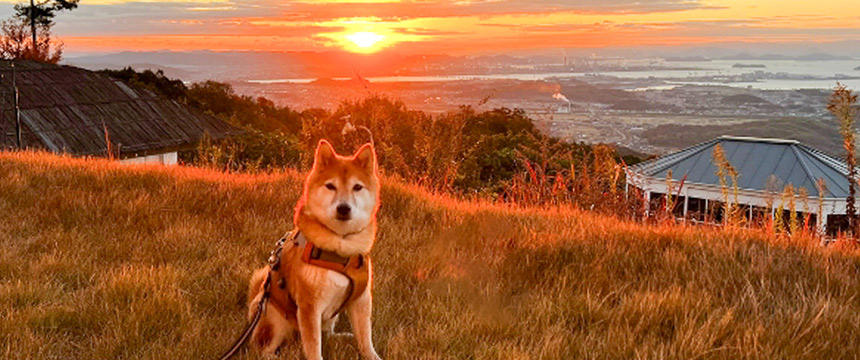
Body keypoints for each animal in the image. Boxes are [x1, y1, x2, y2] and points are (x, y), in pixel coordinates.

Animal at [245, 141, 380, 360]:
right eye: (331, 186)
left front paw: (371, 355)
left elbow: (365, 339)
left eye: (357, 187)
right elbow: (314, 346)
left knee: (328, 333)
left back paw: (341, 337)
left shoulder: (361, 300)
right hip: (273, 316)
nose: (344, 208)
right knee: (262, 350)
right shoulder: (309, 307)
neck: (341, 248)